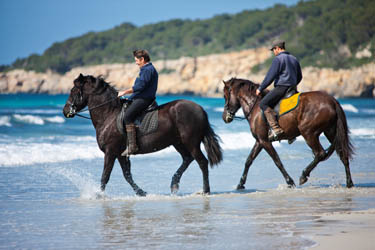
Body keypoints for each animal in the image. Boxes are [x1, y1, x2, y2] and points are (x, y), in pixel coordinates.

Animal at [62, 74, 223, 195]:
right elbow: (127, 175)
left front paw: (98, 195)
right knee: (187, 159)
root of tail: (200, 109)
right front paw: (141, 193)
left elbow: (105, 176)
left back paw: (205, 190)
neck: (109, 115)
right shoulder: (120, 154)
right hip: (178, 142)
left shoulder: (110, 151)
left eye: (73, 91)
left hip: (191, 142)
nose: (65, 111)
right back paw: (174, 184)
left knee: (202, 162)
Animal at [223, 77, 356, 188]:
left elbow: (277, 161)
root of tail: (332, 101)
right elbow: (249, 160)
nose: (225, 117)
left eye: (225, 96)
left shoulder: (264, 141)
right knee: (343, 154)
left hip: (308, 133)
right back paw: (349, 182)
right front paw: (240, 184)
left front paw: (290, 181)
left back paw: (303, 176)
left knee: (320, 153)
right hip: (330, 132)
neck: (254, 106)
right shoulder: (260, 141)